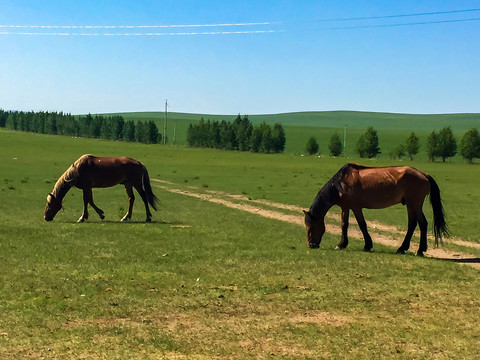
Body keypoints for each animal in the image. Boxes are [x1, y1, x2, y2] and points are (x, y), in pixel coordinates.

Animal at [304, 163, 450, 256]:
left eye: (310, 226)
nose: (311, 244)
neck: (341, 183)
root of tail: (424, 174)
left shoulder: (356, 207)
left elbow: (362, 225)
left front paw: (367, 245)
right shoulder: (345, 207)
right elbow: (344, 225)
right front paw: (341, 244)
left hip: (414, 204)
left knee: (421, 223)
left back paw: (416, 250)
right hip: (411, 205)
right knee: (414, 224)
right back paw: (406, 248)